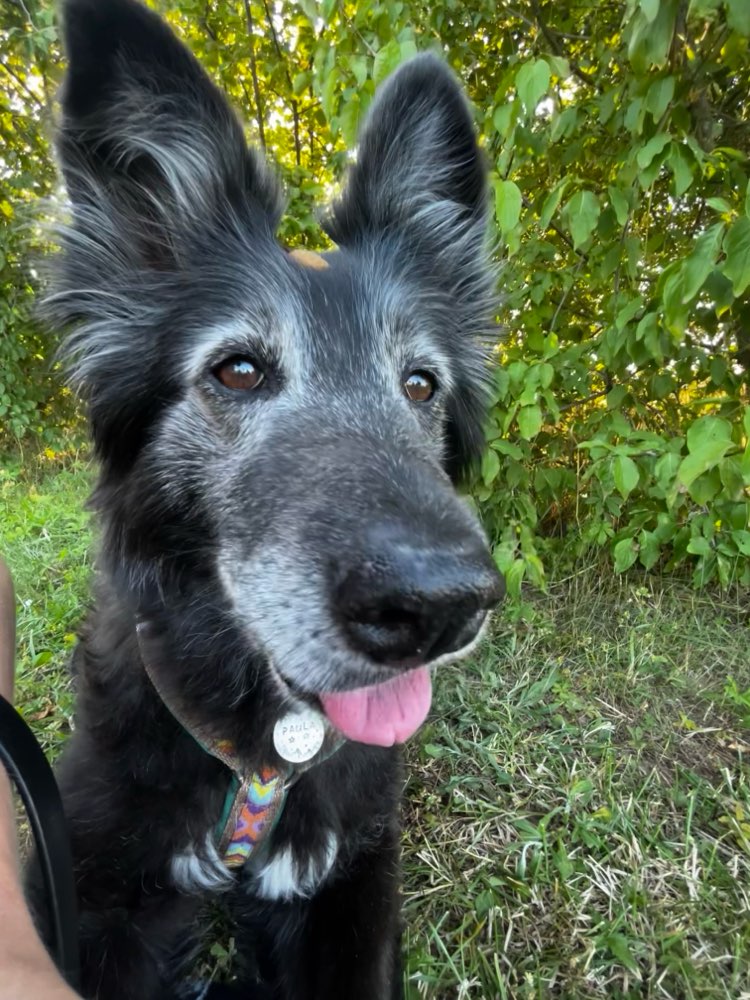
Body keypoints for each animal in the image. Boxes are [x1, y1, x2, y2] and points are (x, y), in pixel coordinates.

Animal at [32, 1, 508, 1000]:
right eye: (240, 371)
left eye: (419, 385)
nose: (442, 609)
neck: (261, 756)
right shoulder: (88, 887)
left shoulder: (353, 884)